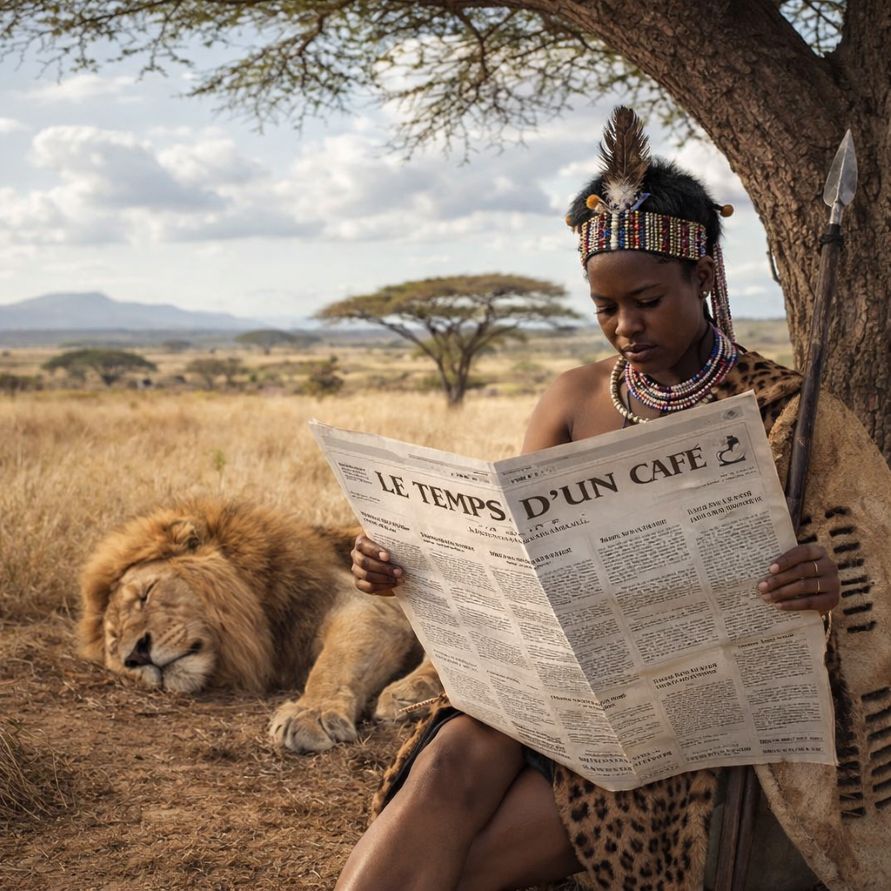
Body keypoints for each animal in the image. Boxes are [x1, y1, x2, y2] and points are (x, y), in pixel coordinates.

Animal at [78, 497, 442, 754]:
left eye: (146, 594)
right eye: (114, 643)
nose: (136, 655)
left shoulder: (368, 605)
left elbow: (334, 663)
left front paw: (309, 712)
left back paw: (407, 694)